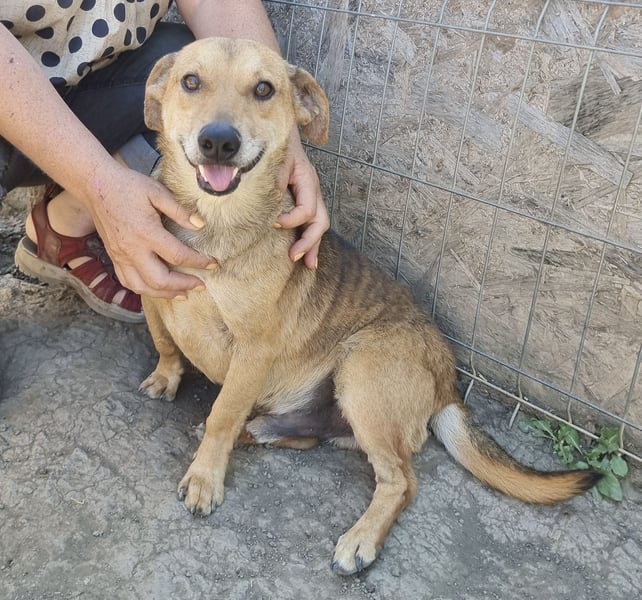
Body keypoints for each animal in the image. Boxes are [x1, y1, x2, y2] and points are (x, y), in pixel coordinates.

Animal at [140, 37, 600, 575]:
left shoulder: (253, 350)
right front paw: (167, 379)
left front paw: (205, 477)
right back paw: (256, 434)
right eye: (190, 81)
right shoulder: (151, 293)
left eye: (264, 89)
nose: (218, 141)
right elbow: (166, 345)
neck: (212, 223)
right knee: (300, 436)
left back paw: (361, 539)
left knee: (402, 481)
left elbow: (221, 414)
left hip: (362, 371)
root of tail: (447, 382)